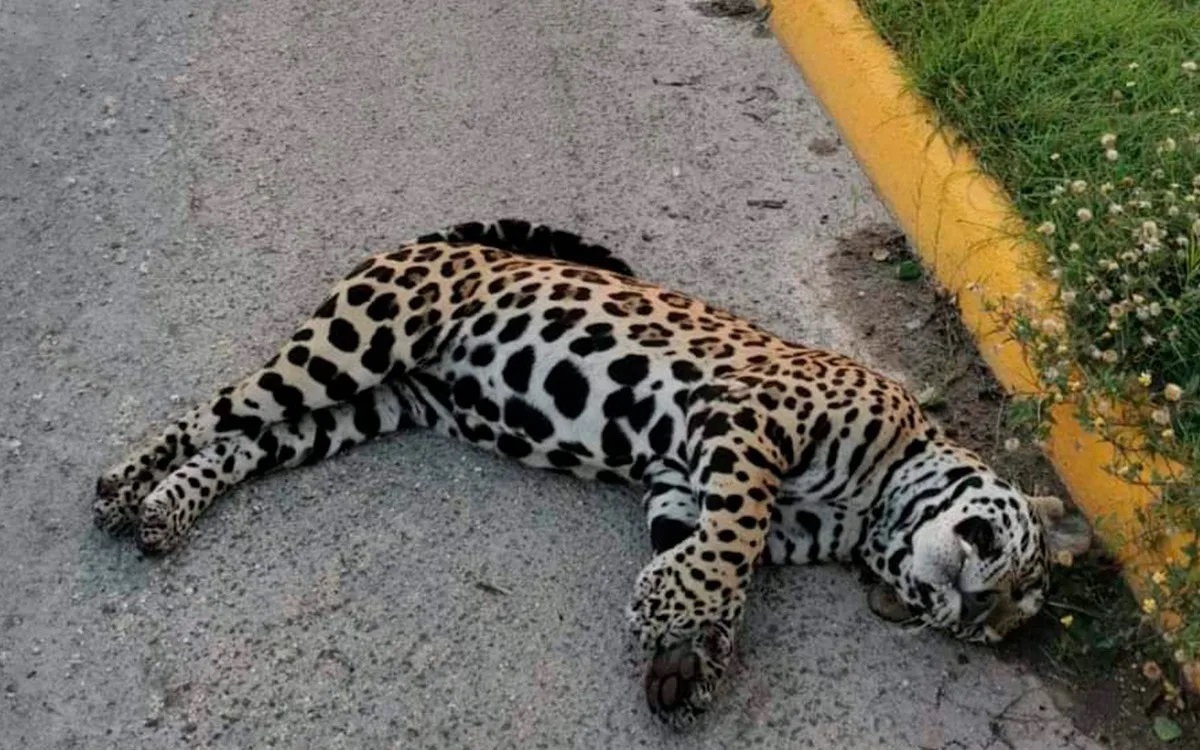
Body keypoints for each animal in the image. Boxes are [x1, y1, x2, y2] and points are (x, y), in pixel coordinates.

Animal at [94, 219, 1092, 728]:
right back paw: (120, 485)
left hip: (367, 408)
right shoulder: (749, 420)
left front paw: (690, 661)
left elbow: (723, 565)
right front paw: (667, 614)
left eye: (991, 628)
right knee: (216, 406)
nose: (964, 606)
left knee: (243, 442)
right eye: (1015, 573)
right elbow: (737, 538)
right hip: (357, 342)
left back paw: (166, 508)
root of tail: (447, 241)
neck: (871, 507)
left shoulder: (682, 487)